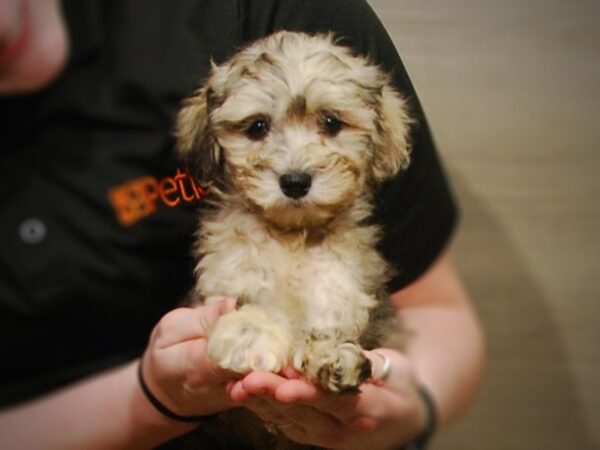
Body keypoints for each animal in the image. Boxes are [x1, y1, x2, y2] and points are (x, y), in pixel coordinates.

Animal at [176, 29, 412, 446]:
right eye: (257, 127)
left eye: (331, 123)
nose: (295, 181)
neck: (291, 236)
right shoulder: (229, 272)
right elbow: (246, 298)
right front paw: (249, 334)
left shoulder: (339, 283)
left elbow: (328, 322)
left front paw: (332, 358)